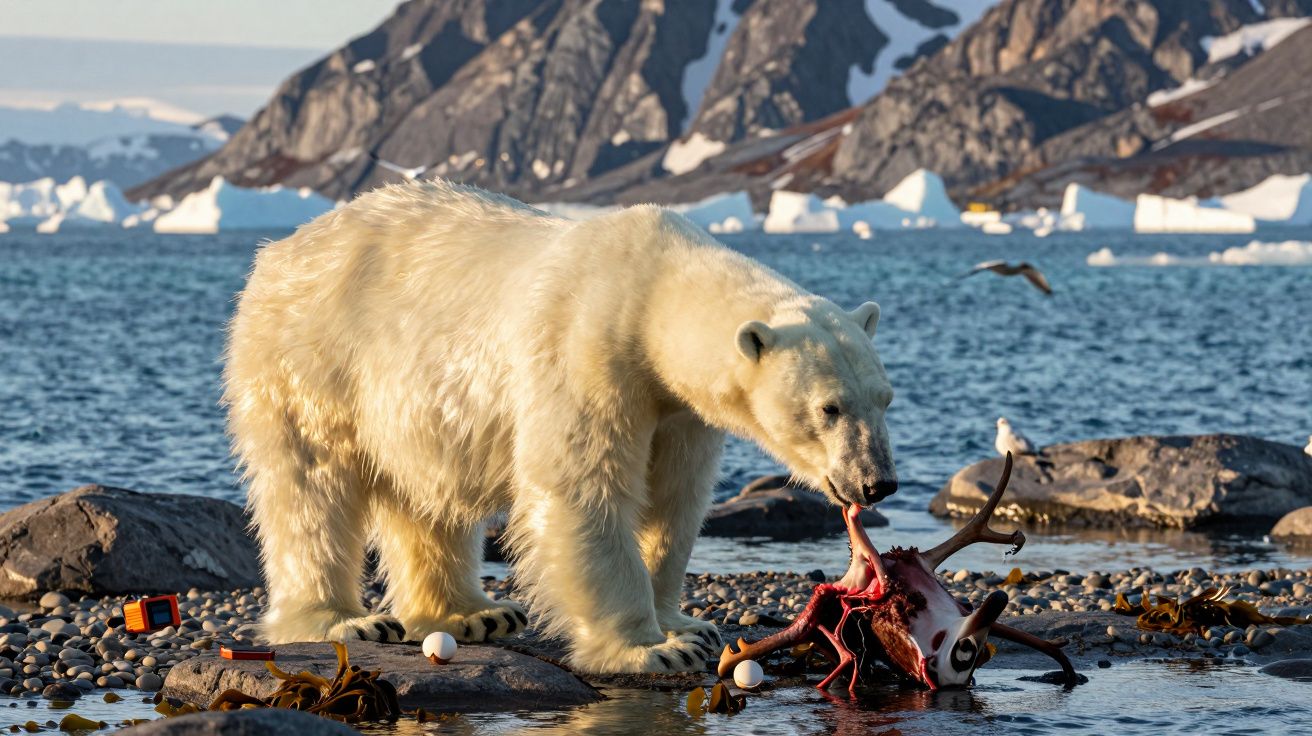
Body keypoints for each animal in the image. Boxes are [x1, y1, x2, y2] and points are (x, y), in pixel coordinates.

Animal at [223, 180, 897, 674]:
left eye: (885, 399)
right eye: (830, 408)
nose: (877, 482)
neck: (649, 287)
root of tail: (278, 251)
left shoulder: (679, 410)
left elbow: (673, 500)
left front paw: (687, 623)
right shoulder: (587, 350)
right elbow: (583, 488)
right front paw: (652, 648)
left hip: (406, 402)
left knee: (425, 500)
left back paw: (474, 613)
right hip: (312, 356)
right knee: (312, 488)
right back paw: (344, 618)